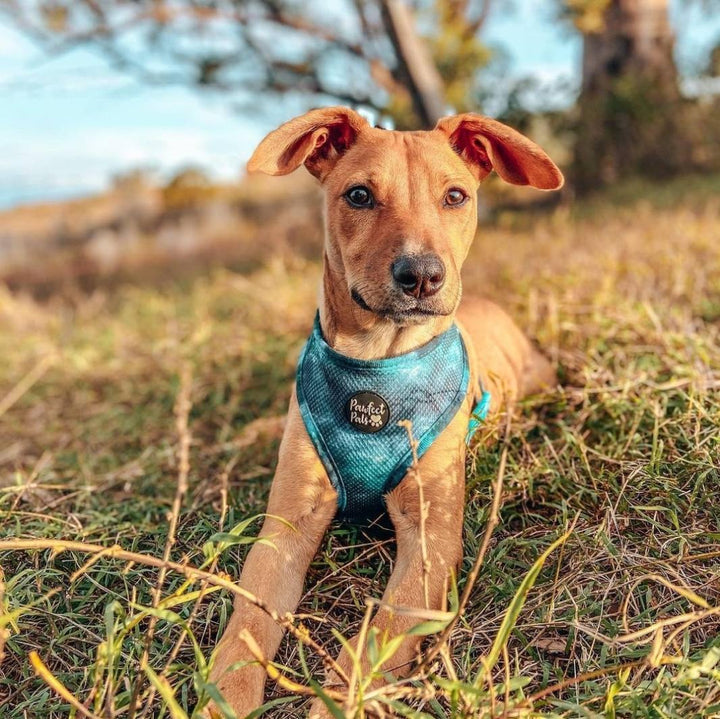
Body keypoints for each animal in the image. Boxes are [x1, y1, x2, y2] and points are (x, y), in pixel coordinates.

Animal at [205, 107, 564, 719]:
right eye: (358, 195)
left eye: (455, 196)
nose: (422, 276)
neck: (378, 370)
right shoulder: (285, 526)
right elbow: (248, 618)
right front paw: (226, 693)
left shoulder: (430, 540)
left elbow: (381, 634)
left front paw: (341, 696)